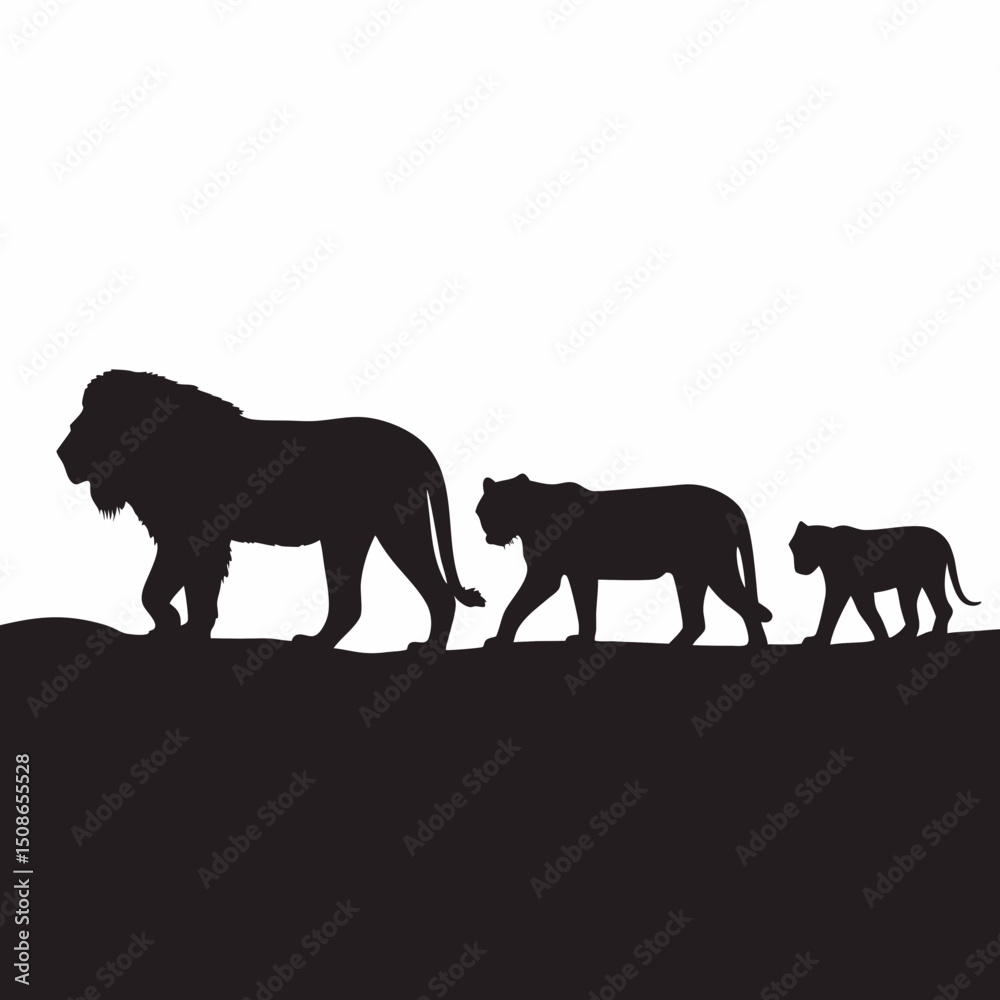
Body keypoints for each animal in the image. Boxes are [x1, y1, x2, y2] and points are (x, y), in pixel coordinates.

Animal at [57, 370, 484, 650]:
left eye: (93, 416)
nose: (61, 453)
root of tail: (417, 444)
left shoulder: (192, 536)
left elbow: (163, 590)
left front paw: (180, 629)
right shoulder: (185, 537)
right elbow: (177, 591)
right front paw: (181, 630)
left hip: (392, 528)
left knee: (434, 595)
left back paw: (424, 651)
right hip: (350, 536)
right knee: (352, 605)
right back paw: (316, 644)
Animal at [475, 474, 771, 646]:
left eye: (498, 508)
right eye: (482, 512)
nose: (489, 537)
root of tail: (731, 504)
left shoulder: (547, 575)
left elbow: (516, 605)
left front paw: (499, 640)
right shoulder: (580, 573)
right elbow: (585, 608)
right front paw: (581, 639)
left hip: (716, 567)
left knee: (741, 604)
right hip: (691, 574)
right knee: (697, 619)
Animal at [790, 522, 979, 644]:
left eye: (801, 548)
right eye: (792, 547)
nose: (797, 568)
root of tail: (942, 539)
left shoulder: (846, 588)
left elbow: (835, 612)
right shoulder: (852, 590)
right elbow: (854, 612)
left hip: (930, 578)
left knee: (943, 608)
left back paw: (935, 635)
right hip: (908, 586)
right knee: (914, 617)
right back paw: (902, 638)